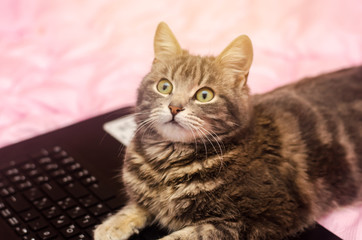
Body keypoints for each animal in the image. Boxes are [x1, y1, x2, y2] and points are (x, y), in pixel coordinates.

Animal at [94, 21, 362, 239]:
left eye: (204, 95)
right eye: (164, 86)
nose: (174, 107)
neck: (168, 162)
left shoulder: (268, 216)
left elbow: (196, 233)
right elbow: (137, 204)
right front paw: (112, 224)